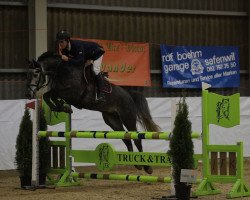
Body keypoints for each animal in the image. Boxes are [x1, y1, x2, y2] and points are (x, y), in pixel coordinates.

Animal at [25, 51, 160, 173]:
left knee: (136, 138)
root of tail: (129, 95)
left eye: (36, 74)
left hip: (128, 117)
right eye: (27, 74)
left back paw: (147, 168)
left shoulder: (72, 93)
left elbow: (51, 93)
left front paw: (63, 107)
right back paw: (136, 164)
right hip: (112, 120)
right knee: (126, 138)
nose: (28, 94)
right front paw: (62, 107)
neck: (61, 70)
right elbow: (49, 95)